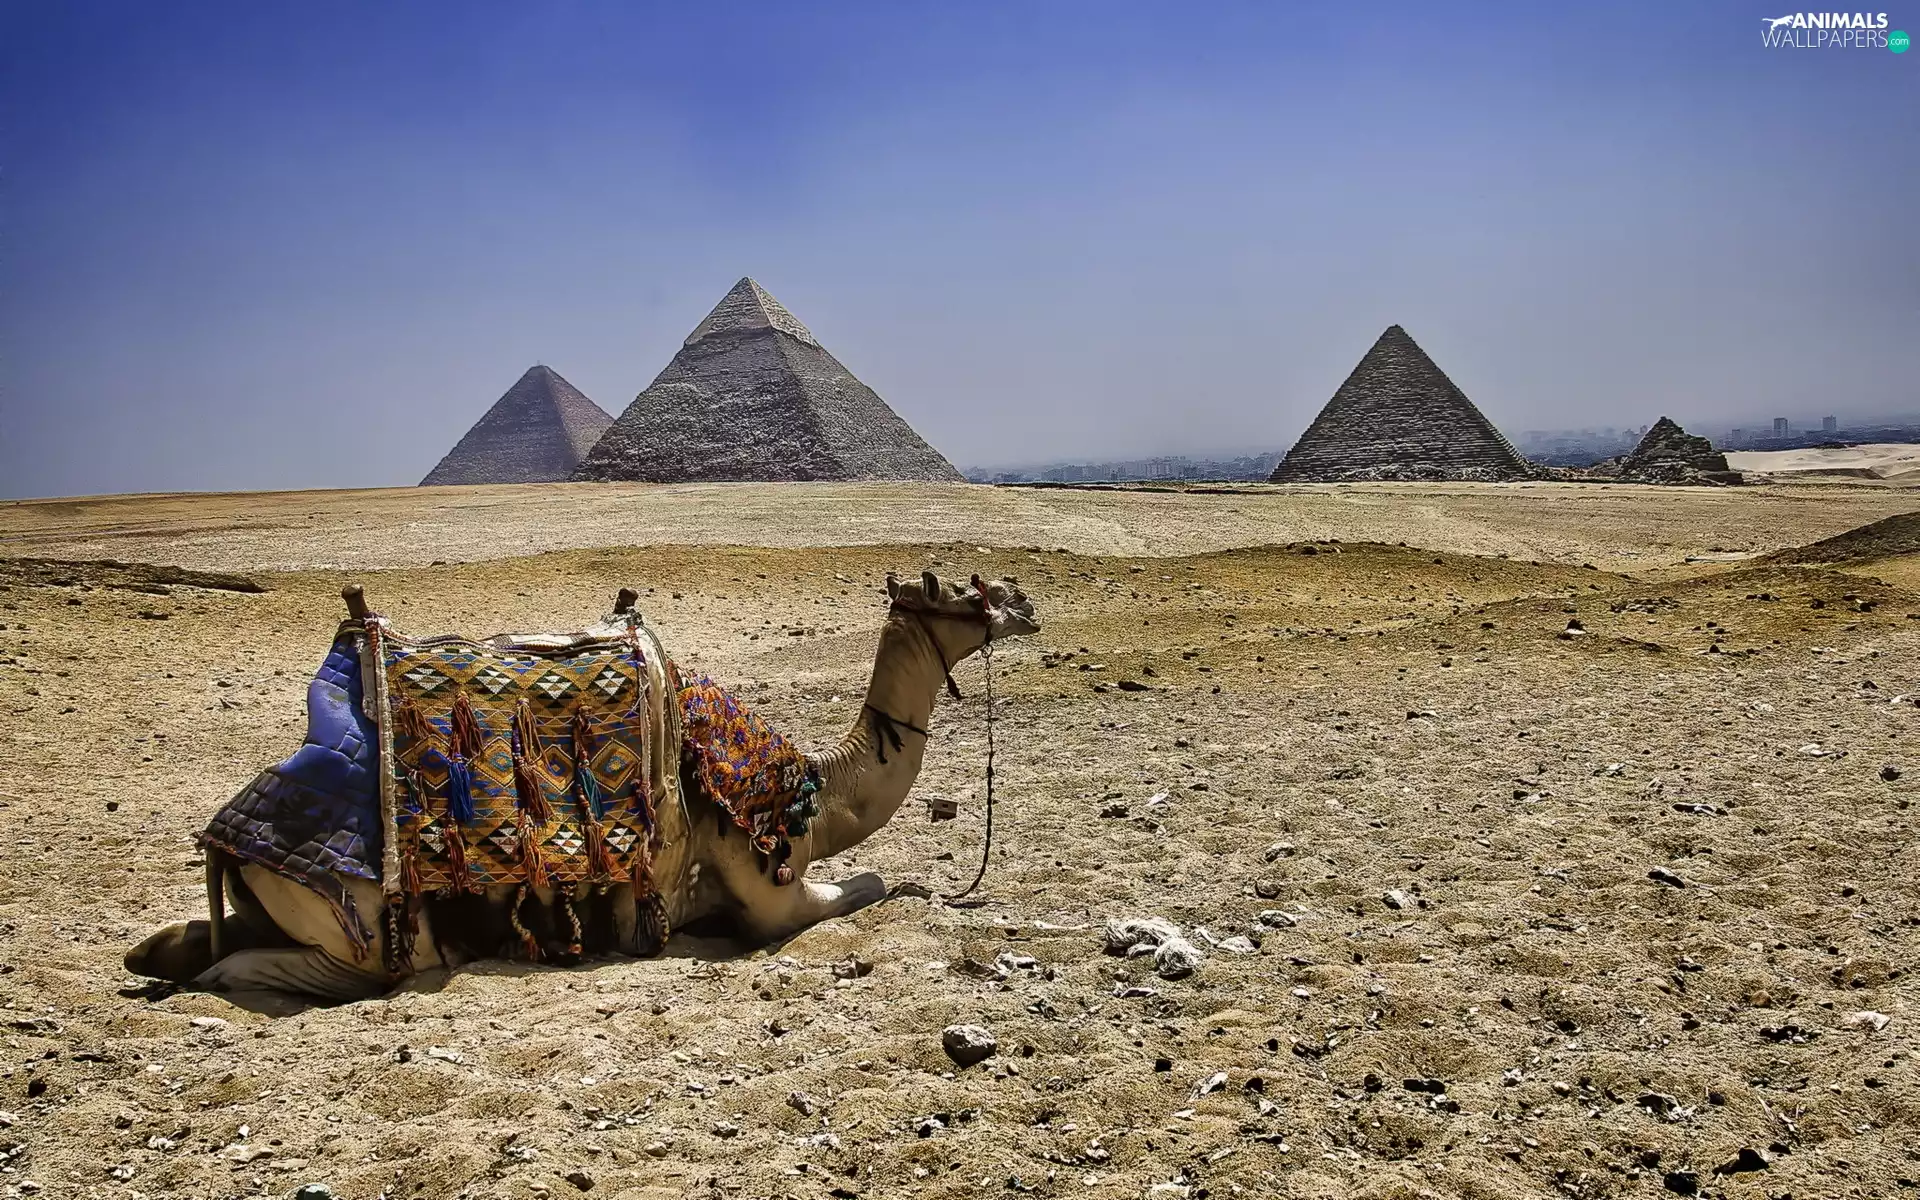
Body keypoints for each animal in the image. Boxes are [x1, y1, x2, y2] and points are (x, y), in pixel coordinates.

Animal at [124, 569, 1038, 1003]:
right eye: (968, 591)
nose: (1026, 604)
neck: (810, 789)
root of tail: (228, 838)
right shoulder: (766, 889)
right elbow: (869, 882)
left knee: (190, 938)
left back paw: (157, 953)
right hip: (371, 928)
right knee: (290, 968)